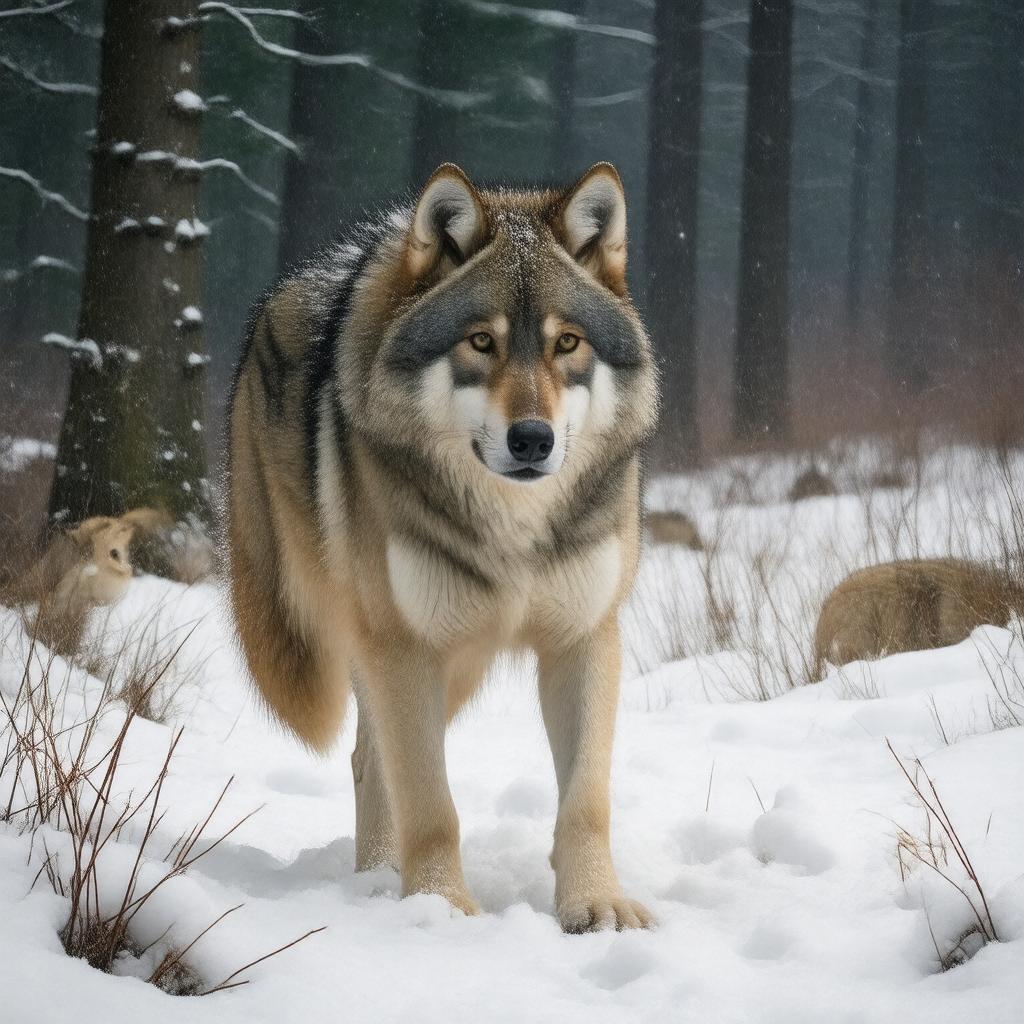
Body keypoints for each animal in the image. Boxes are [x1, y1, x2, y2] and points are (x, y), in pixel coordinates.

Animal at [226, 163, 659, 932]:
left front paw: (596, 904)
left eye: (567, 344)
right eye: (480, 342)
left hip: (456, 665)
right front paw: (440, 908)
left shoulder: (584, 639)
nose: (532, 440)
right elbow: (432, 807)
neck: (515, 526)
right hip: (387, 641)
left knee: (369, 760)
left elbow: (586, 800)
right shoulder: (404, 647)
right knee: (376, 764)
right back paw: (380, 884)